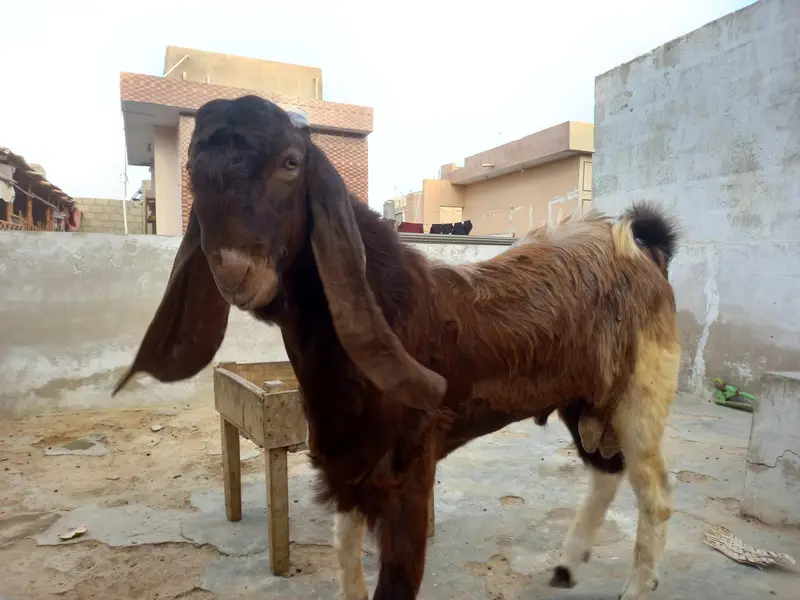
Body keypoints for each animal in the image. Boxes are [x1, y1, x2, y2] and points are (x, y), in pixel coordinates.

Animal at [113, 95, 681, 600]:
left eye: (291, 163)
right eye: (192, 167)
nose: (233, 270)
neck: (391, 306)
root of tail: (641, 247)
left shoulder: (410, 474)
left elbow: (397, 581)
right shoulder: (346, 461)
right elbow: (346, 564)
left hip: (641, 396)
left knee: (654, 493)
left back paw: (634, 587)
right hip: (581, 400)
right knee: (605, 470)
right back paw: (567, 566)